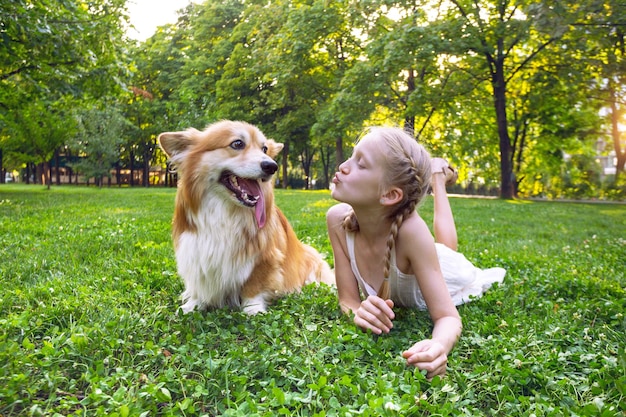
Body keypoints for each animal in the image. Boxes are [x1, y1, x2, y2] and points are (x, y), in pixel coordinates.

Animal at [158, 119, 334, 312]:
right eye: (237, 144)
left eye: (264, 149)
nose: (272, 166)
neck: (225, 211)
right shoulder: (195, 251)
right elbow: (200, 285)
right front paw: (193, 305)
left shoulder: (265, 258)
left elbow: (254, 286)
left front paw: (253, 309)